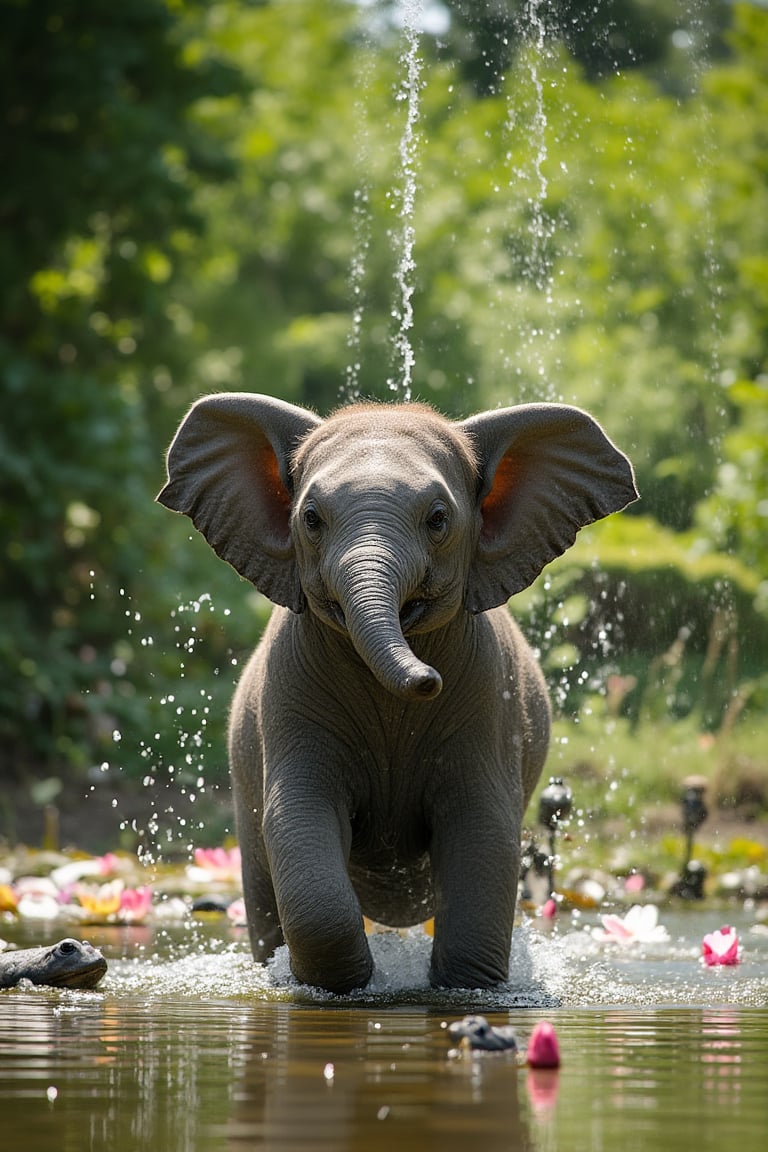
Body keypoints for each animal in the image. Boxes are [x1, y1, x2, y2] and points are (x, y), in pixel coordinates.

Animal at [157, 393, 635, 990]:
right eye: (311, 519)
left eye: (438, 520)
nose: (427, 680)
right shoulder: (287, 700)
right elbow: (298, 822)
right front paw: (349, 984)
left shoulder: (489, 706)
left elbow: (483, 833)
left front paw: (462, 985)